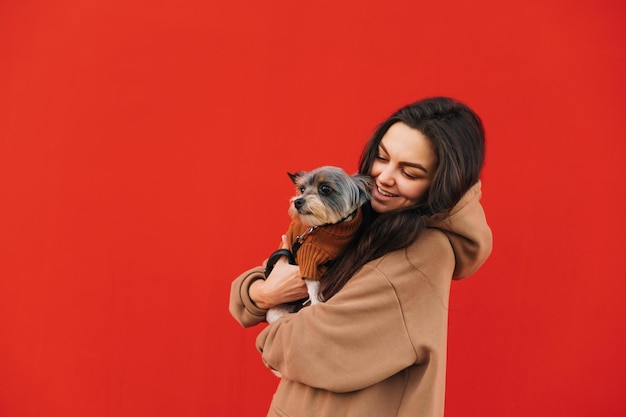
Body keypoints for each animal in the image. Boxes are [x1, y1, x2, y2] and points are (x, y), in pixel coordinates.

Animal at [264, 164, 370, 324]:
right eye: (302, 189)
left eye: (325, 189)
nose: (297, 201)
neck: (332, 227)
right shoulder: (309, 256)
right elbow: (313, 285)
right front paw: (316, 303)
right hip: (275, 313)